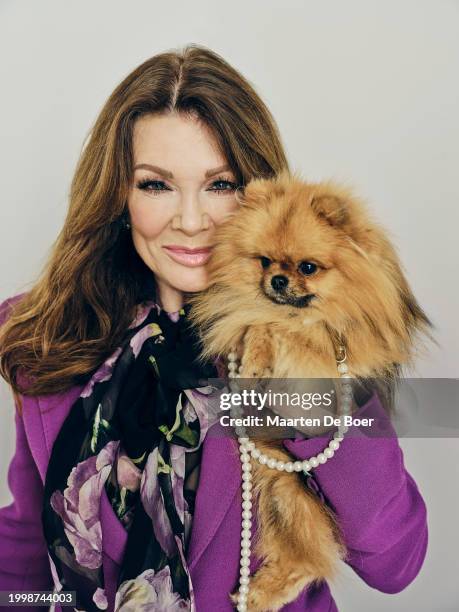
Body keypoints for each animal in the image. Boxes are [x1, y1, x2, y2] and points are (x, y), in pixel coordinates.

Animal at [186, 171, 432, 612]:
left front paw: (265, 354)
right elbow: (258, 323)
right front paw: (255, 357)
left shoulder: (342, 346)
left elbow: (281, 331)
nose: (278, 280)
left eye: (307, 267)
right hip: (283, 488)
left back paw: (261, 594)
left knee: (308, 560)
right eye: (265, 261)